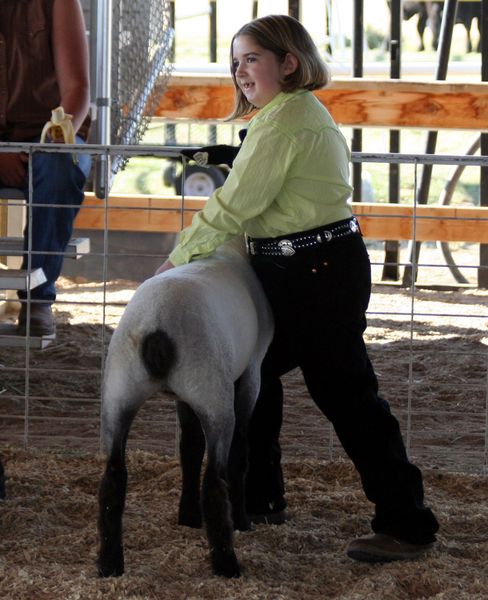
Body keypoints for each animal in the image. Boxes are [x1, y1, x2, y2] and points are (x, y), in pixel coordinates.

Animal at [96, 237, 272, 580]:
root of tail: (157, 326)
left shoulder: (183, 396)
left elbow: (188, 448)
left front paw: (187, 516)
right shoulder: (252, 371)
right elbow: (239, 451)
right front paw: (241, 521)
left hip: (119, 392)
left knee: (113, 477)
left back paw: (109, 563)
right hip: (213, 393)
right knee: (215, 479)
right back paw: (227, 564)